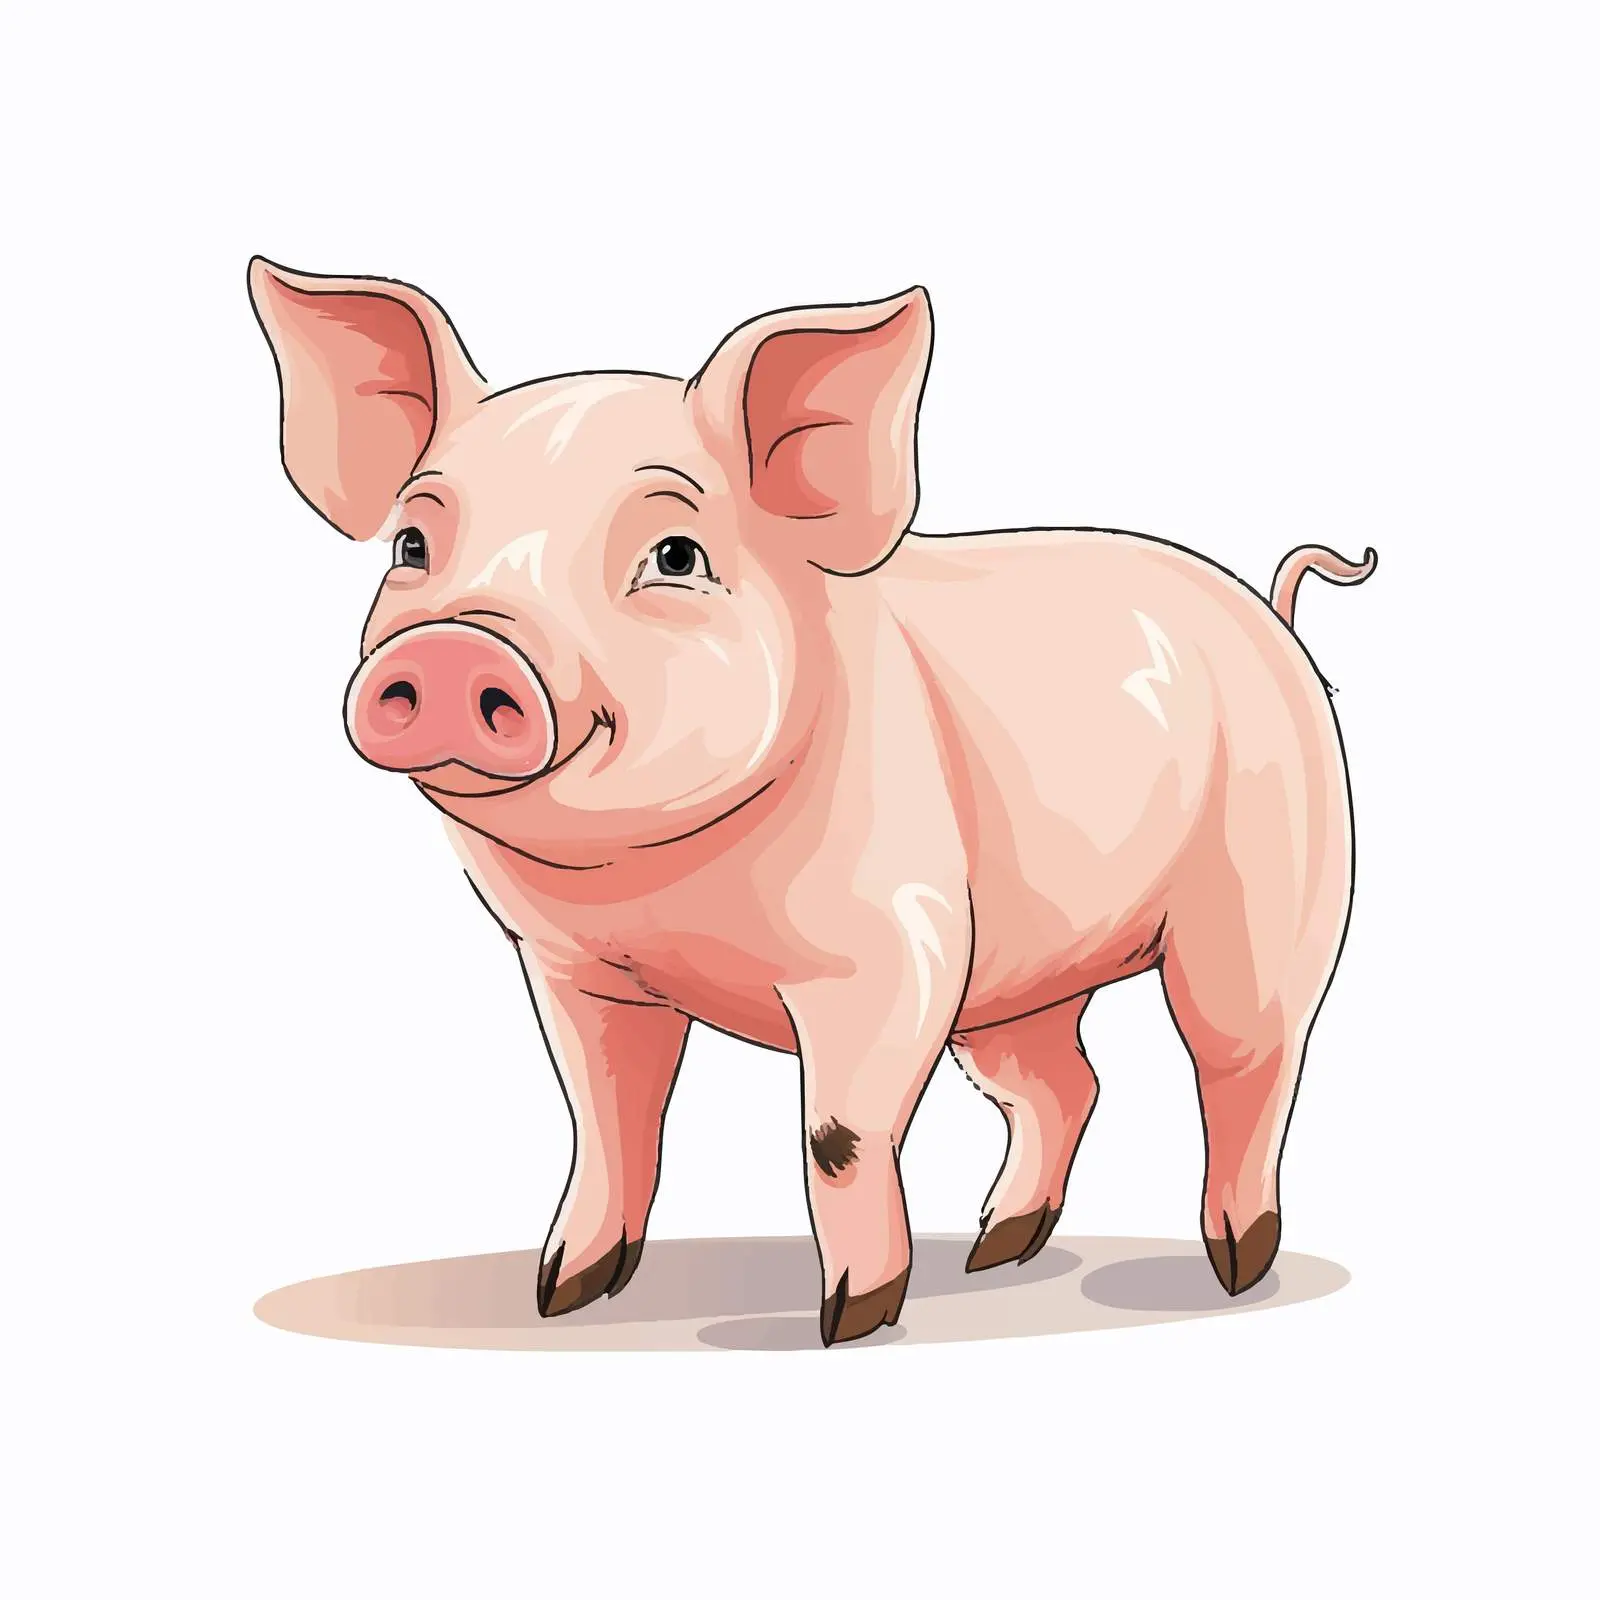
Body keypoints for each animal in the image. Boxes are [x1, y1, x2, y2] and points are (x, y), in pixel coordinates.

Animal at [249, 257, 1375, 1345]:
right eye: (411, 546)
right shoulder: (573, 968)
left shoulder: (894, 948)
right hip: (1014, 979)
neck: (655, 886)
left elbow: (835, 1136)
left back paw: (1232, 1267)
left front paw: (849, 1325)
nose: (455, 644)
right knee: (1067, 1082)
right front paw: (562, 1296)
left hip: (1265, 901)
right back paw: (994, 1251)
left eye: (674, 556)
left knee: (1249, 1063)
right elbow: (604, 1121)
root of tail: (1271, 614)